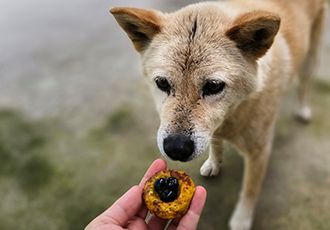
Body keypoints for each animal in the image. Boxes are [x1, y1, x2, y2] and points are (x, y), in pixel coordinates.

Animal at [110, 0, 328, 229]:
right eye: (162, 82)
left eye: (214, 86)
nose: (176, 149)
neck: (232, 116)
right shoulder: (213, 131)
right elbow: (215, 145)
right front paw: (214, 164)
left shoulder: (260, 152)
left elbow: (250, 190)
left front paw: (242, 219)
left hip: (310, 60)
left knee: (303, 86)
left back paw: (302, 110)